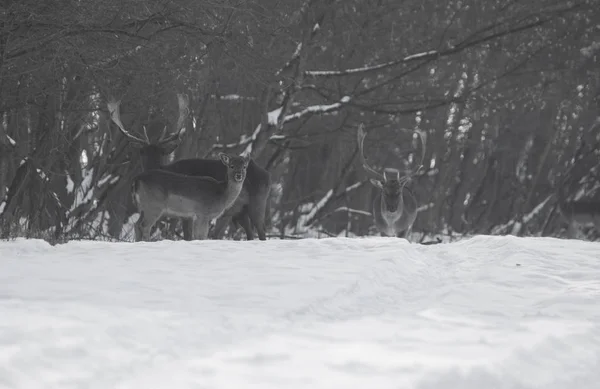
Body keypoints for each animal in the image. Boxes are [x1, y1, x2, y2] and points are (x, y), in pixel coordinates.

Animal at [106, 94, 270, 239]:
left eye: (244, 166)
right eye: (230, 166)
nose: (239, 175)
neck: (221, 193)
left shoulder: (195, 216)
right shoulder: (202, 213)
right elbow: (198, 237)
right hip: (153, 205)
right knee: (143, 226)